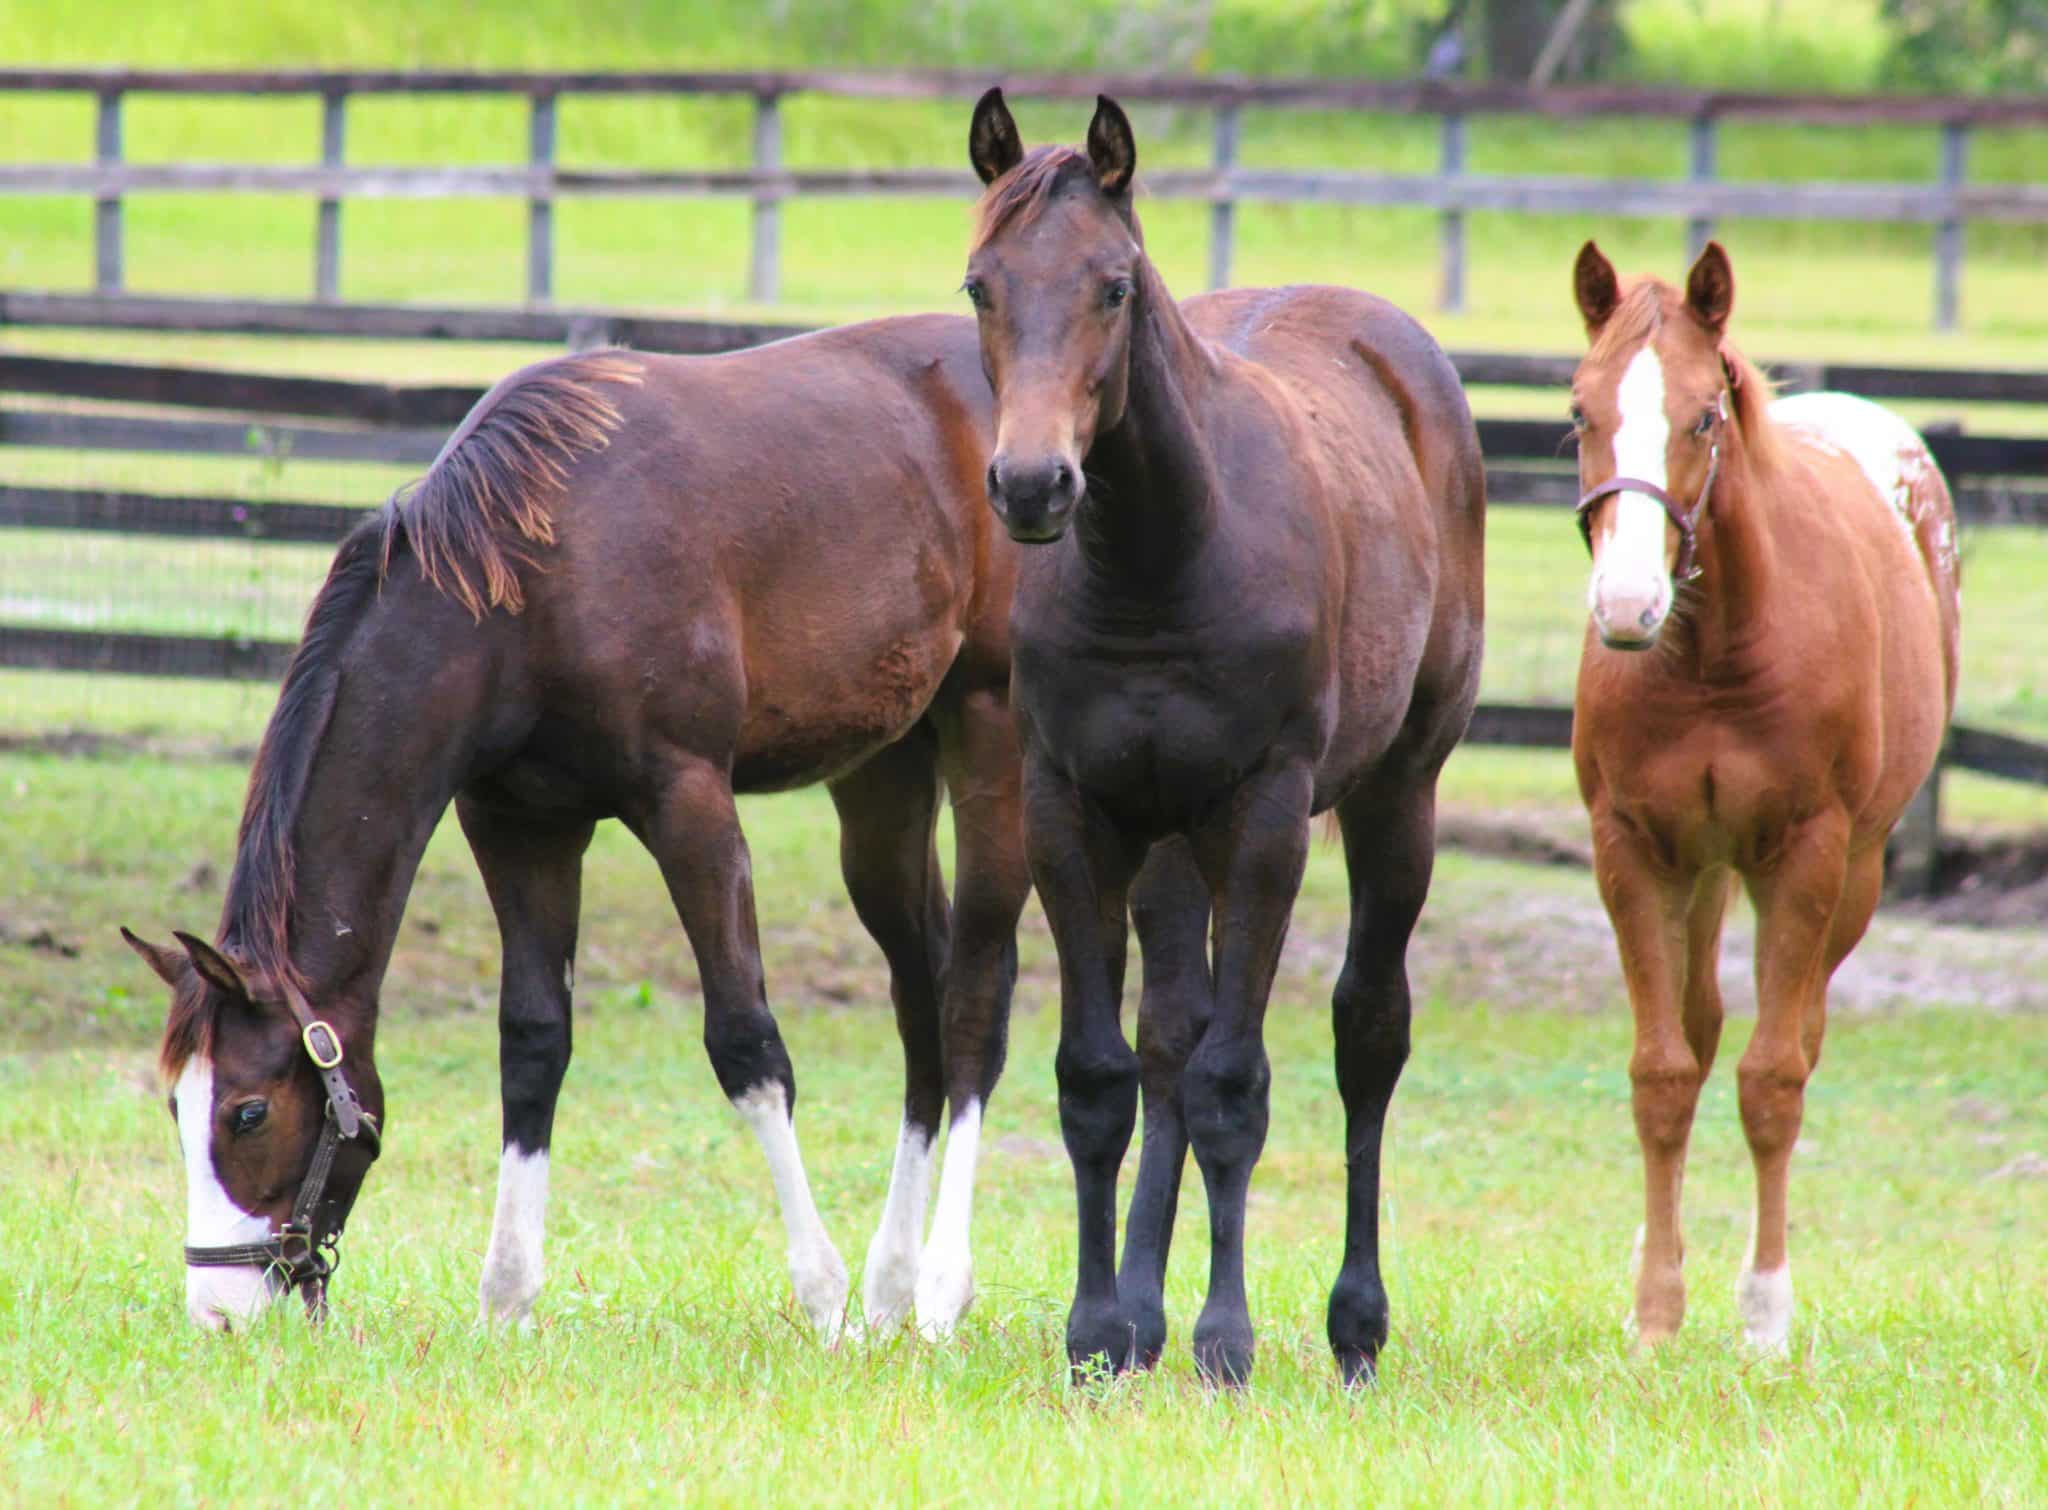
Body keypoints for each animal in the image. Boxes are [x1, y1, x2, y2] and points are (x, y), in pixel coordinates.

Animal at [117, 323, 1032, 1335]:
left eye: (246, 1112)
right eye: (176, 1108)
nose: (218, 1311)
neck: (536, 573)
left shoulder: (689, 803)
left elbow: (746, 1043)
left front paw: (819, 1298)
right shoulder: (520, 824)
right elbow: (532, 1042)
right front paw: (506, 1300)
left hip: (990, 734)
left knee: (976, 995)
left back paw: (939, 1288)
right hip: (883, 777)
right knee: (921, 997)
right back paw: (892, 1286)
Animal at [966, 91, 1482, 1393]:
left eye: (1111, 287)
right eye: (978, 286)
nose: (1033, 485)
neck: (1158, 557)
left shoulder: (1260, 813)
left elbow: (1233, 1081)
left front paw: (1227, 1339)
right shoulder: (1071, 807)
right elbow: (1103, 1076)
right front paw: (1097, 1330)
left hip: (1395, 791)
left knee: (1365, 1031)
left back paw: (1353, 1325)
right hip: (1165, 841)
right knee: (1166, 1037)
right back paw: (1144, 1312)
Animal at [1564, 241, 1966, 1352]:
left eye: (1704, 414)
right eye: (1579, 409)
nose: (1626, 606)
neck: (1711, 657)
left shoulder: (1806, 854)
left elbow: (1772, 1081)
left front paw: (1765, 1313)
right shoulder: (1632, 849)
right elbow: (1662, 1071)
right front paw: (1653, 1311)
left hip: (1854, 875)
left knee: (1795, 1038)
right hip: (1700, 872)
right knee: (1697, 1030)